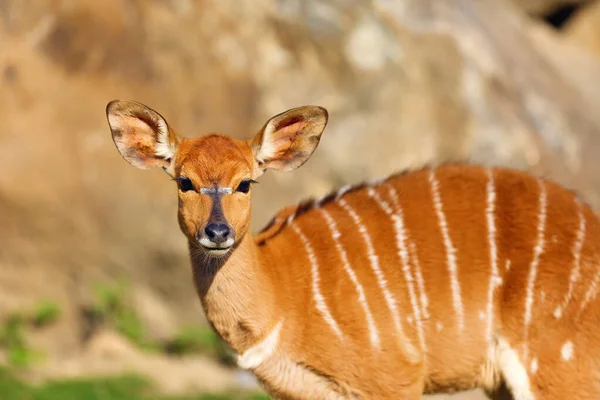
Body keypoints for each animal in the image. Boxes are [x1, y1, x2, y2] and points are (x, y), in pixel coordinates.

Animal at [108, 98, 600, 398]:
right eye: (184, 182)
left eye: (245, 183)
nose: (217, 232)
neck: (282, 295)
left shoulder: (395, 377)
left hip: (560, 370)